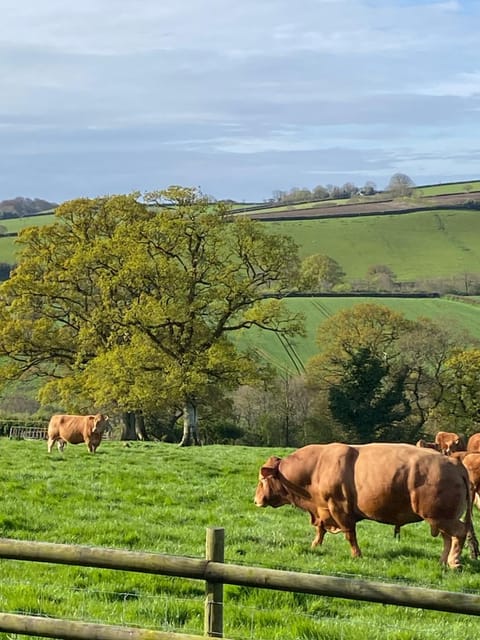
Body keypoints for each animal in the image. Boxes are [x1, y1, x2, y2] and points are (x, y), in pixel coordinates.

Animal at [253, 442, 478, 568]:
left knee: (459, 533)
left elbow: (349, 534)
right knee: (448, 538)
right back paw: (443, 561)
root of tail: (456, 464)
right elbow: (320, 530)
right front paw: (315, 545)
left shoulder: (339, 508)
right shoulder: (323, 510)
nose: (255, 500)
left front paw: (356, 555)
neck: (316, 468)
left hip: (441, 516)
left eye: (261, 479)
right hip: (441, 518)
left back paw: (454, 562)